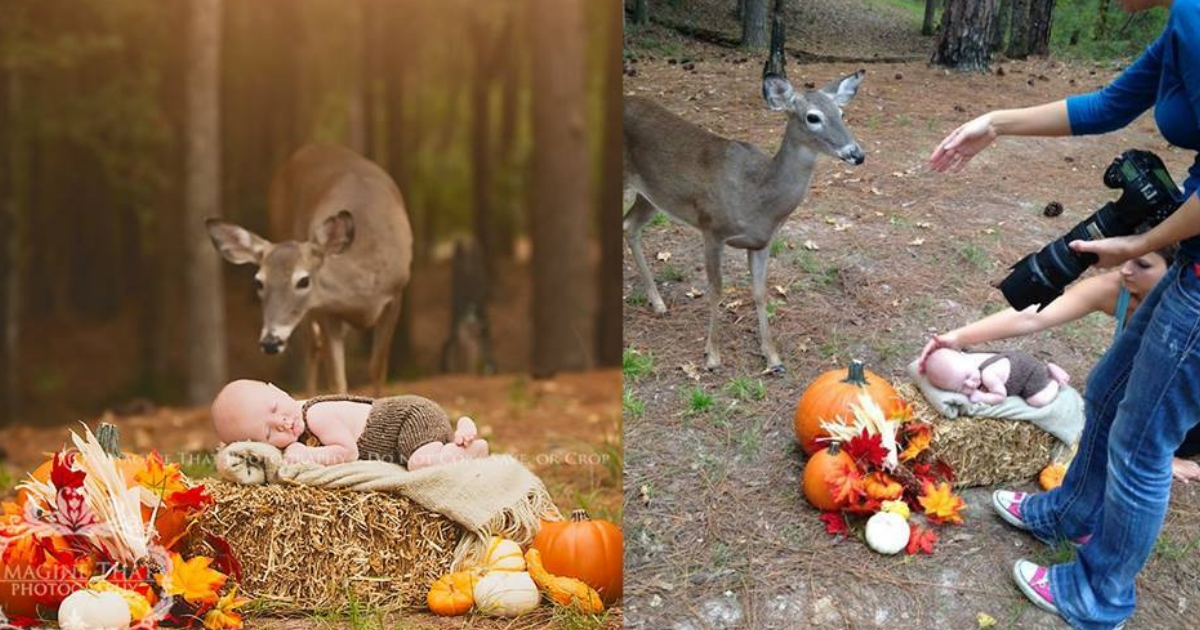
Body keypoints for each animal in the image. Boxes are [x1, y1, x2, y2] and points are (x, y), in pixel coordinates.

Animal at [206, 144, 413, 395]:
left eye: (303, 280)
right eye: (259, 281)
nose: (270, 342)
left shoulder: (395, 295)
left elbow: (377, 368)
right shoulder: (326, 309)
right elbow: (337, 380)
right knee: (313, 347)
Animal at [623, 17, 865, 374]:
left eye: (842, 114)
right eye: (813, 117)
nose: (856, 153)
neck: (757, 197)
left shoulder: (762, 242)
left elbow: (760, 293)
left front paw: (773, 357)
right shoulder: (712, 226)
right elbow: (716, 288)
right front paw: (712, 356)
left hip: (652, 194)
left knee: (629, 226)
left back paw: (658, 302)